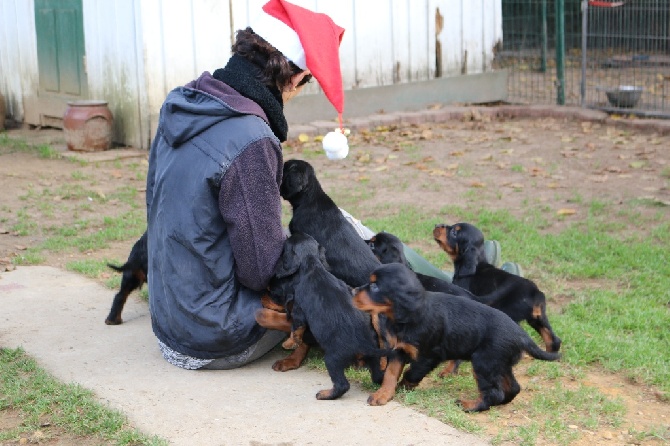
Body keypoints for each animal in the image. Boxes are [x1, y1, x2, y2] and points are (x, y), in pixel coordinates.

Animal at [258, 233, 386, 400]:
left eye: (272, 291)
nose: (261, 297)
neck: (313, 266)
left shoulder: (299, 309)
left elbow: (294, 327)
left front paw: (287, 341)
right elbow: (301, 340)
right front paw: (290, 360)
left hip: (336, 356)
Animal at [354, 264, 564, 412]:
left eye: (374, 286)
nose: (354, 291)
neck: (409, 315)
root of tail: (521, 335)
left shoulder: (429, 355)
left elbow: (411, 373)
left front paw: (403, 387)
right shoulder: (400, 349)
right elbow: (390, 373)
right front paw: (382, 395)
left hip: (484, 361)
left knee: (494, 392)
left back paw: (470, 406)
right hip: (499, 363)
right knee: (513, 387)